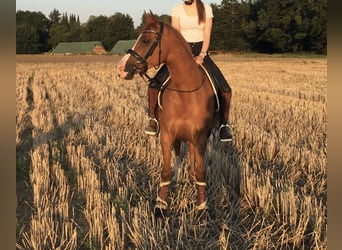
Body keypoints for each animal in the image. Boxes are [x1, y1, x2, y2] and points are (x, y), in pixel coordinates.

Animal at [117, 12, 218, 218]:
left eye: (146, 40)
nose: (121, 68)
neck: (185, 91)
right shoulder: (167, 136)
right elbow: (165, 170)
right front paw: (161, 204)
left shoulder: (200, 138)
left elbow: (200, 171)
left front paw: (202, 206)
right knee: (179, 153)